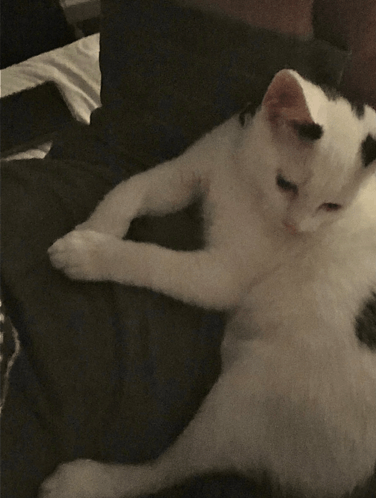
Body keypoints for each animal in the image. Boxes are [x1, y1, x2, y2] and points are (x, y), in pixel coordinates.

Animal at [41, 70, 376, 498]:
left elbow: (151, 260)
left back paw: (87, 480)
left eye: (332, 207)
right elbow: (130, 188)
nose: (294, 227)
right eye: (285, 184)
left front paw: (89, 252)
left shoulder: (222, 275)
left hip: (247, 394)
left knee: (173, 467)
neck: (247, 182)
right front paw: (98, 225)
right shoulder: (190, 168)